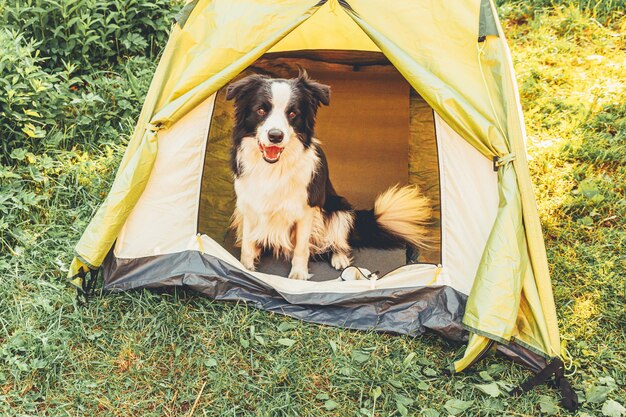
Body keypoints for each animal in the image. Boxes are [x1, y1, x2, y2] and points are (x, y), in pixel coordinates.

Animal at [224, 70, 428, 280]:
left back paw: (340, 259)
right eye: (261, 110)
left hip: (339, 208)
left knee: (336, 243)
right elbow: (247, 244)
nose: (275, 136)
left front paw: (298, 275)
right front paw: (244, 268)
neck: (273, 168)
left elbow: (301, 247)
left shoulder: (307, 209)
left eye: (292, 113)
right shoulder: (249, 204)